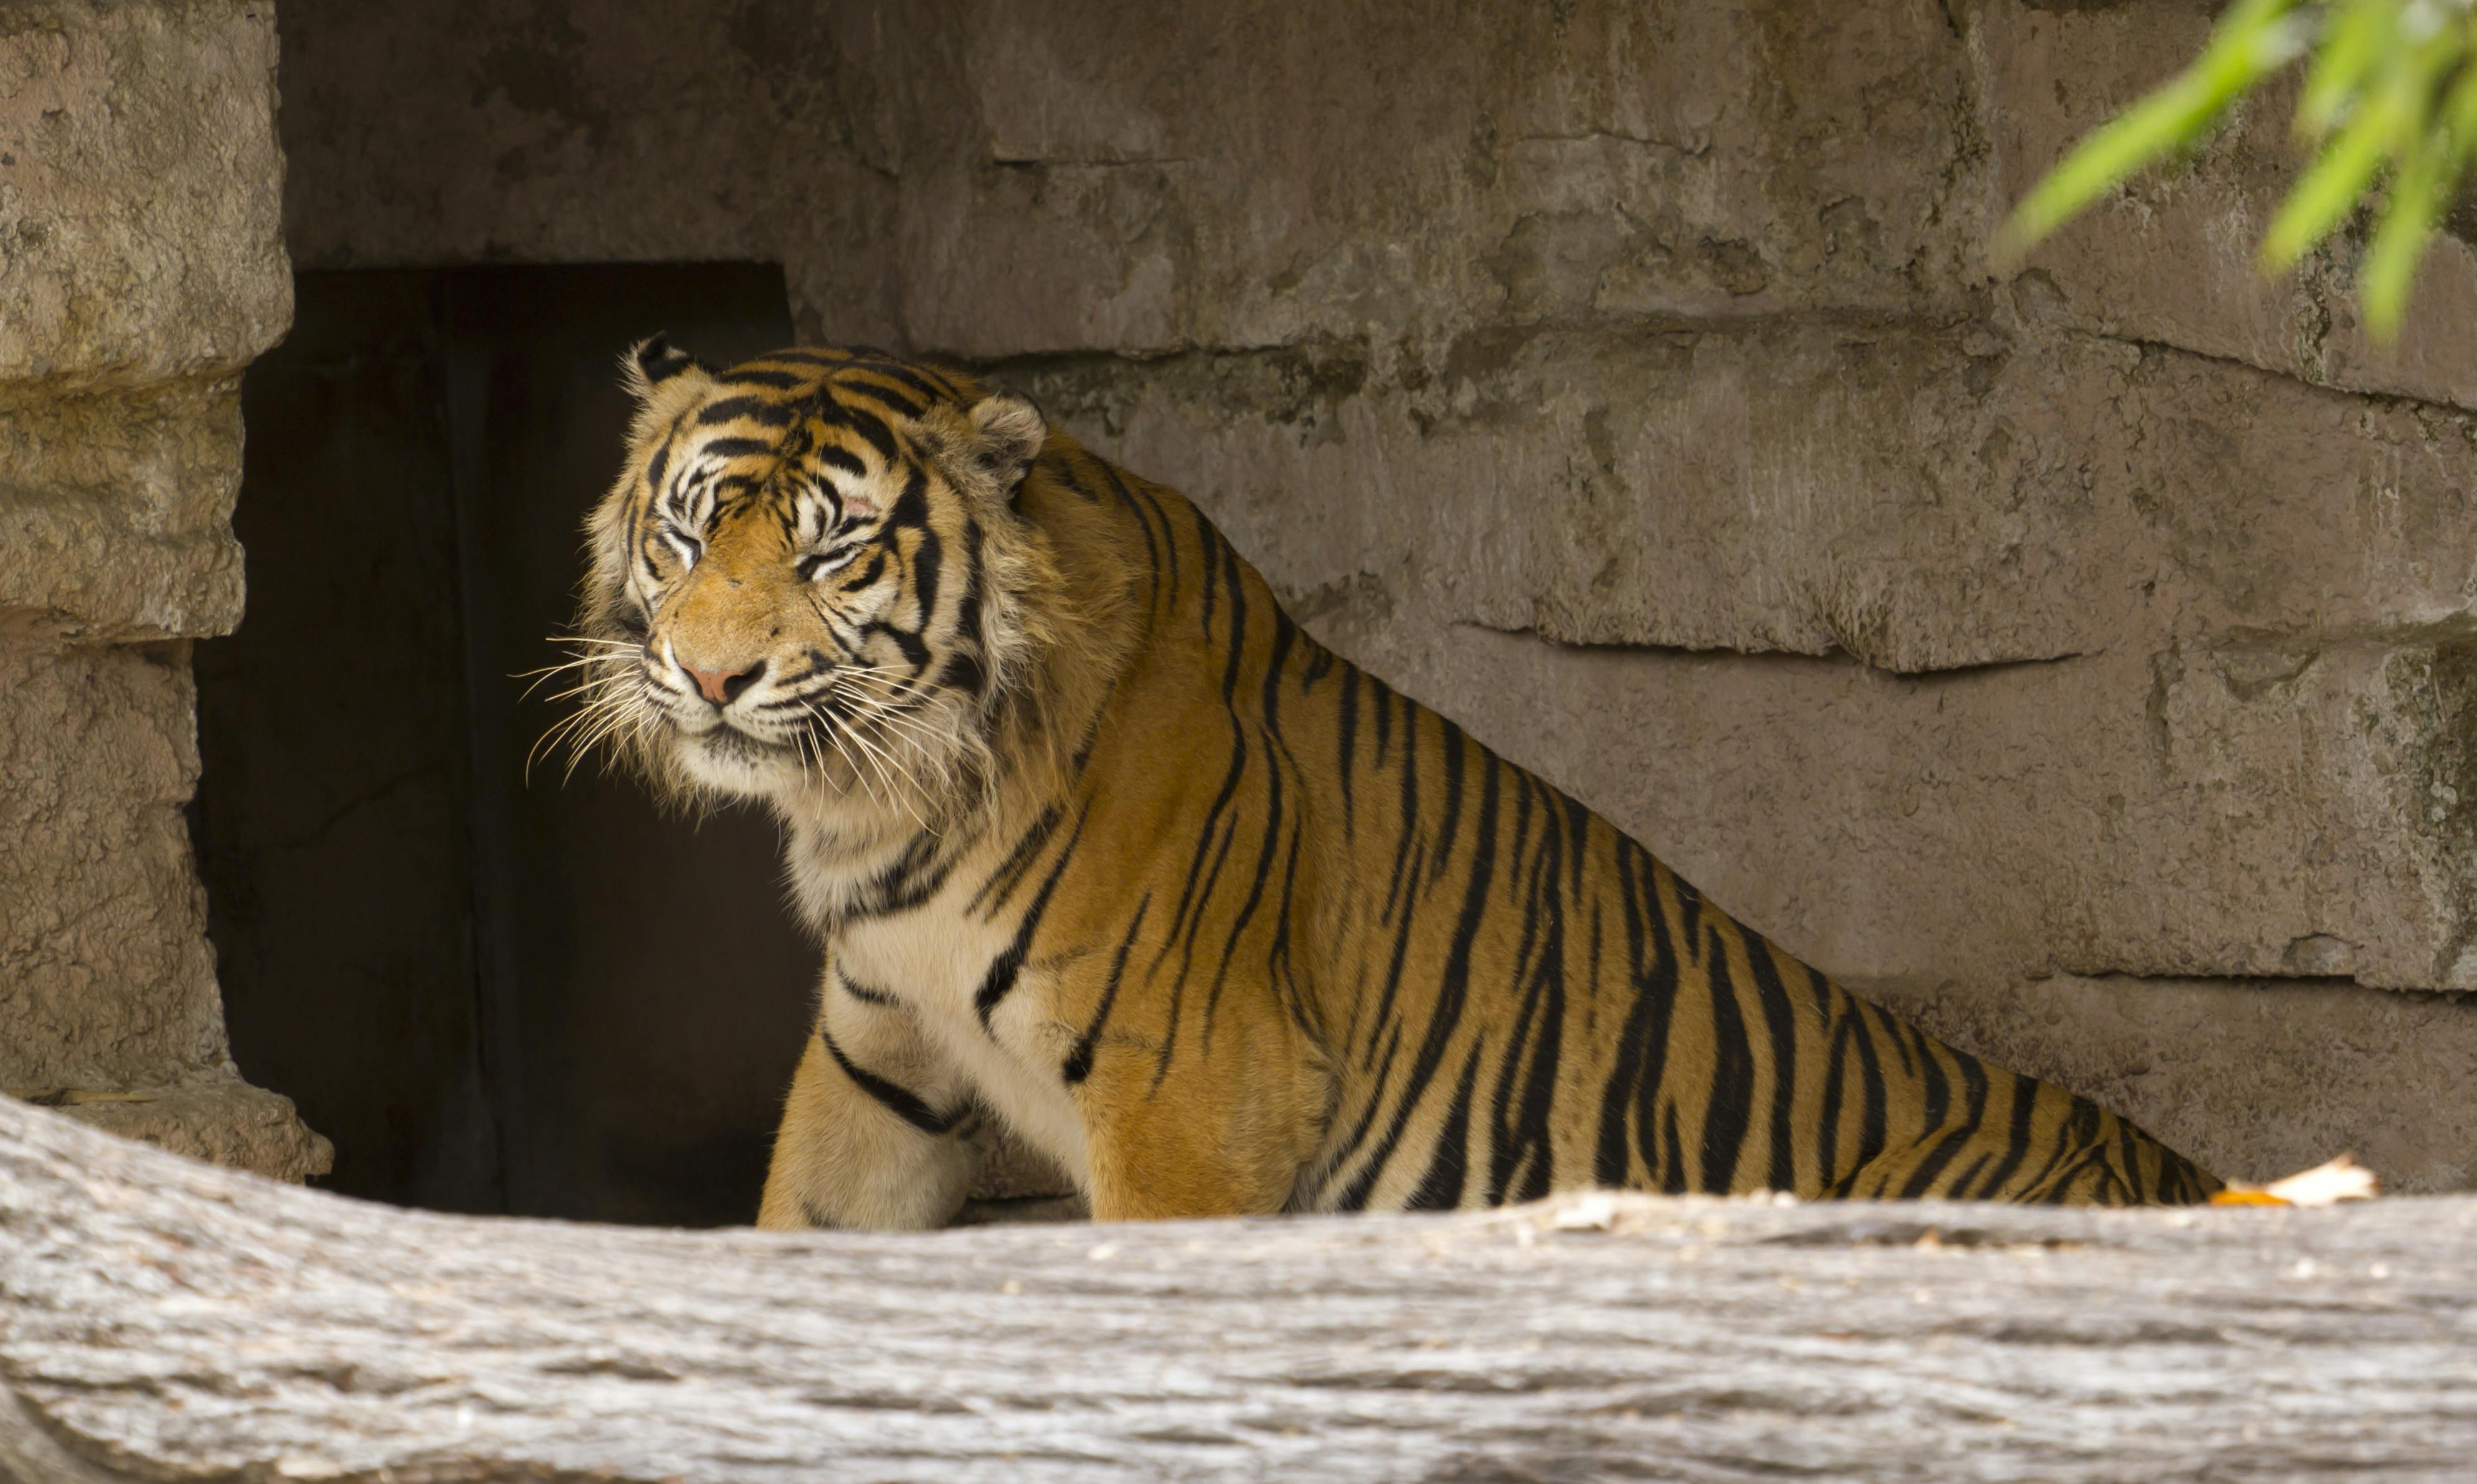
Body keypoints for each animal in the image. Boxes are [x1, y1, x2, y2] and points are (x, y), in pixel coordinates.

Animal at [564, 335, 2223, 1229]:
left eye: (836, 551)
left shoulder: (1189, 1089)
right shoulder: (877, 1058)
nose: (710, 676)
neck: (885, 801)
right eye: (689, 531)